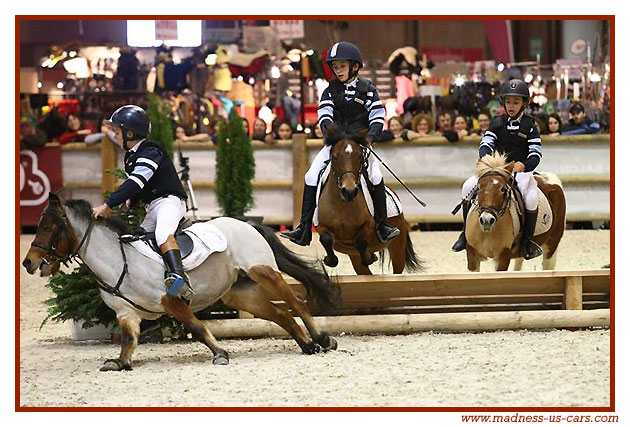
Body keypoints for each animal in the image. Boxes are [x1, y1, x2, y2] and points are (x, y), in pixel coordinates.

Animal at [316, 127, 424, 276]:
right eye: (334, 157)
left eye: (359, 157)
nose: (349, 191)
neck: (342, 205)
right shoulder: (322, 227)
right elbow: (325, 239)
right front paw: (328, 260)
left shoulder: (368, 226)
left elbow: (361, 241)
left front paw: (369, 257)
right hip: (355, 259)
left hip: (397, 247)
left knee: (397, 268)